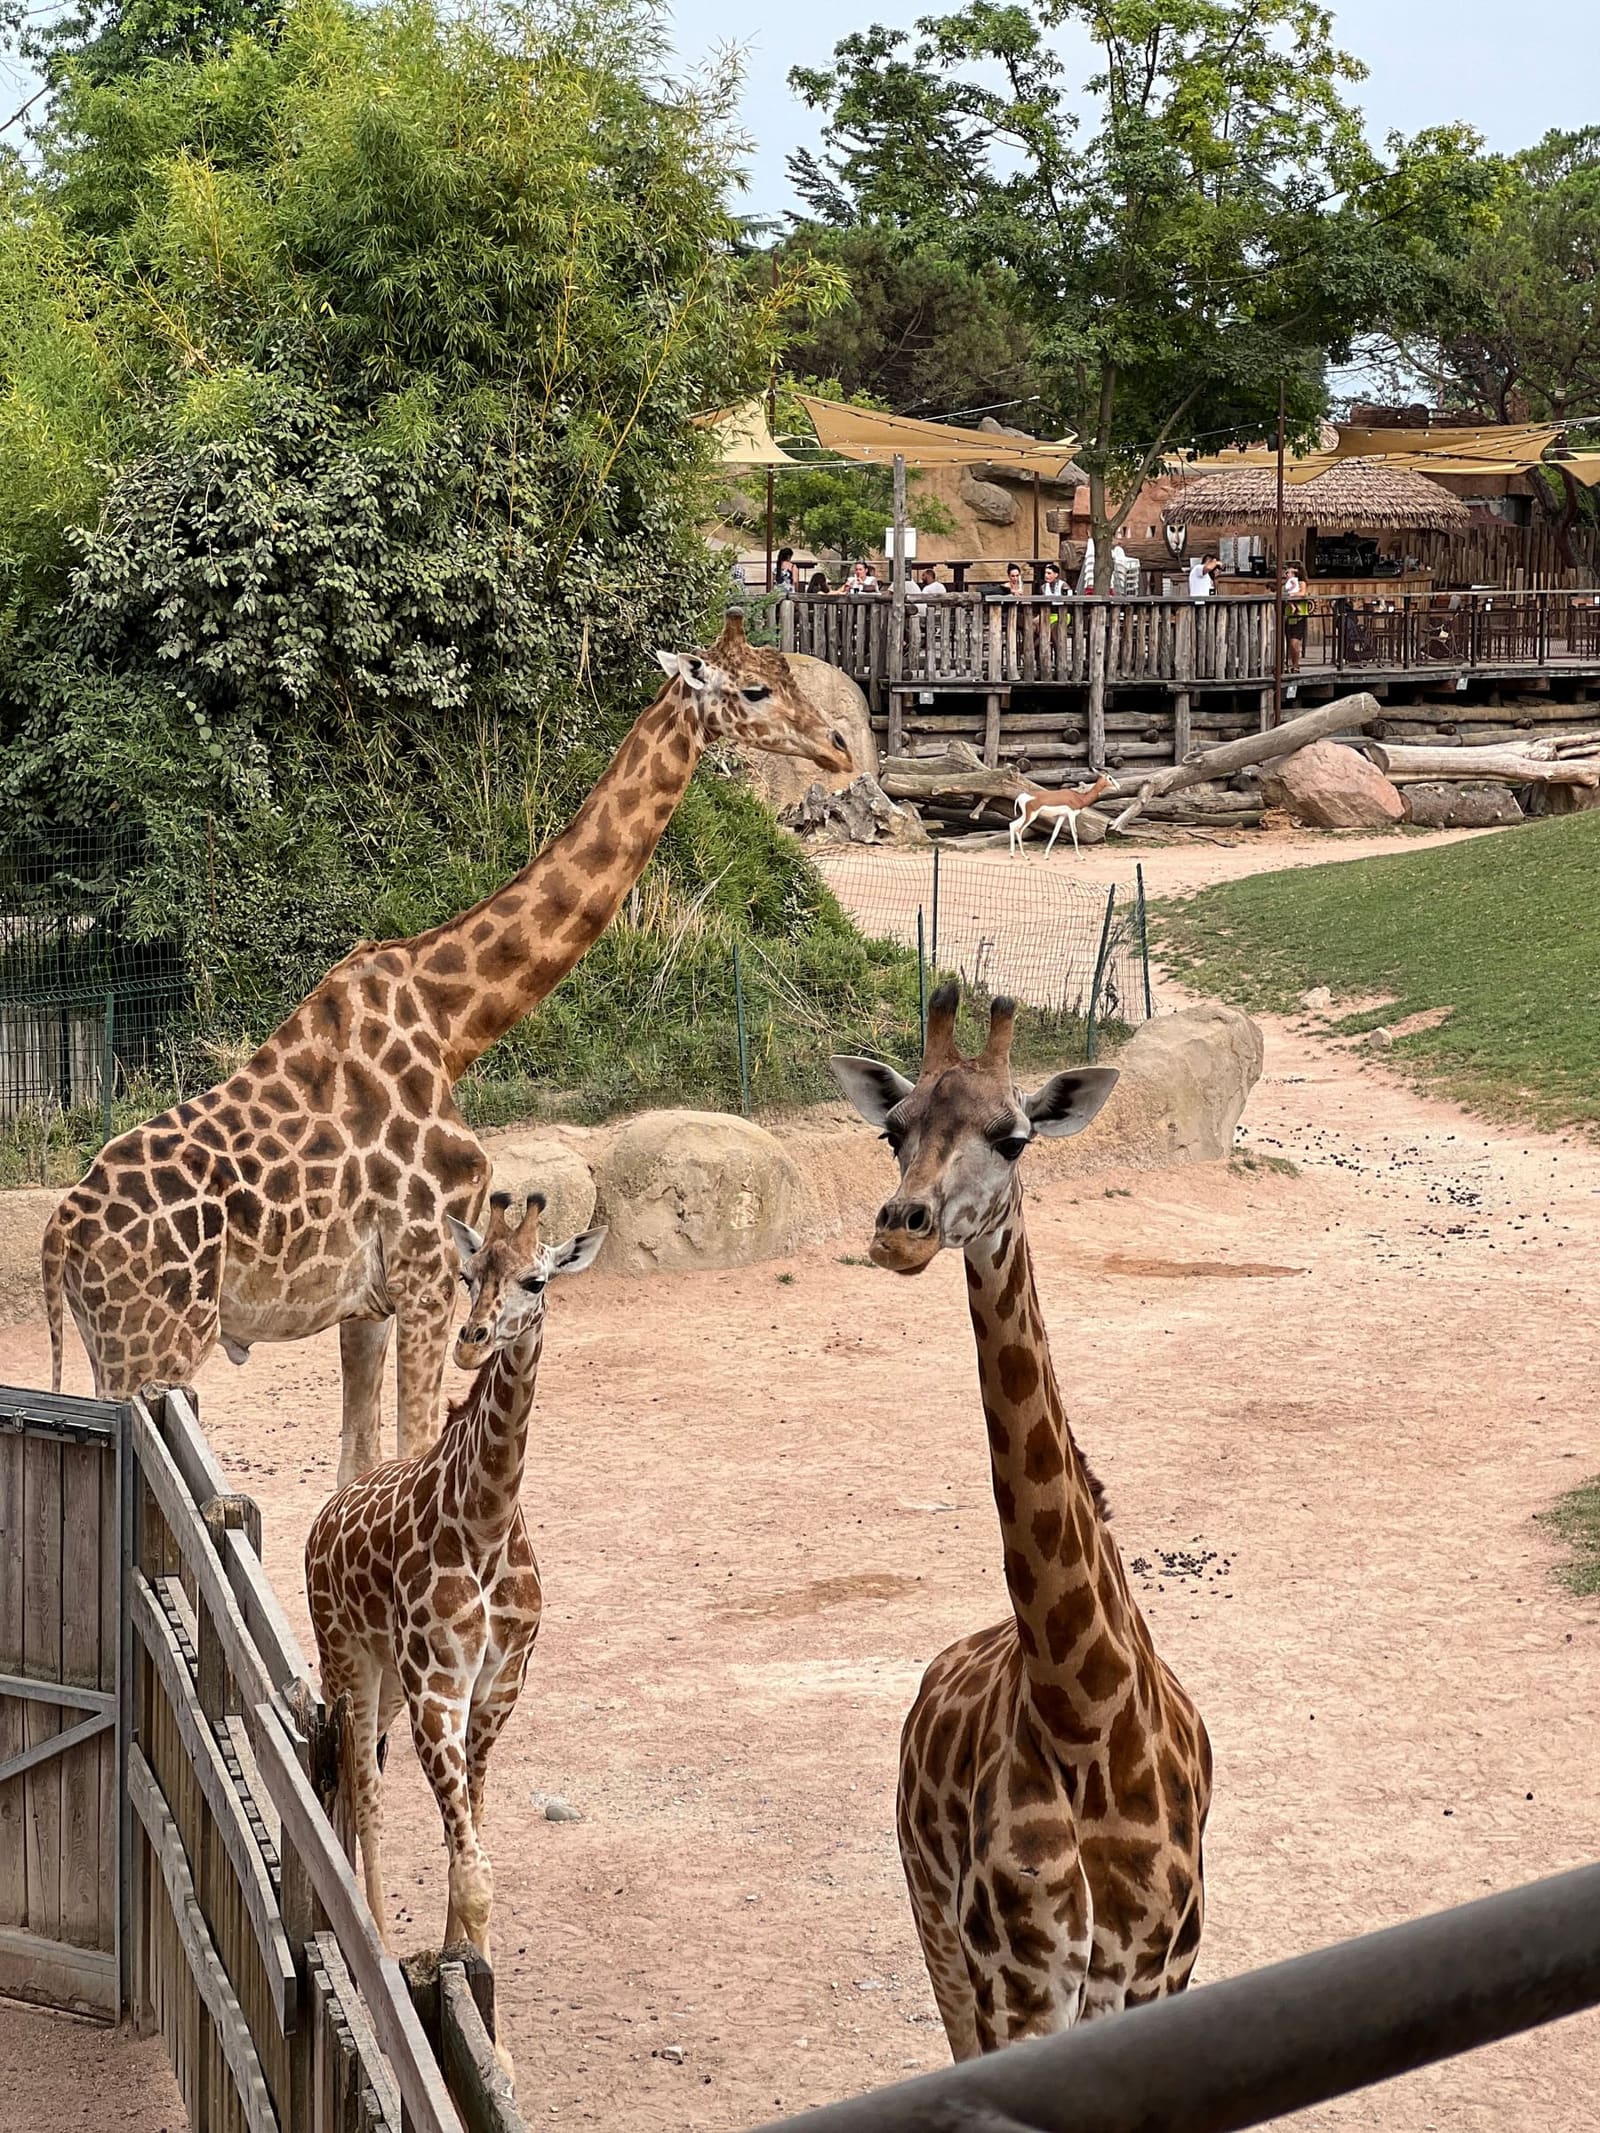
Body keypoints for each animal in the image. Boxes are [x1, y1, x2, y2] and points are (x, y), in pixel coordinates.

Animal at [42, 614, 851, 1482]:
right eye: (755, 688)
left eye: (787, 673)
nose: (840, 748)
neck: (454, 1020)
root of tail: (58, 1241)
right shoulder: (429, 1272)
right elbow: (412, 1445)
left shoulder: (366, 1302)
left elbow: (356, 1465)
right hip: (152, 1345)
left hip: (113, 1349)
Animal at [305, 1187, 604, 2067]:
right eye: (470, 1273)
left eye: (537, 1279)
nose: (472, 1339)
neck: (487, 1519)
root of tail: (323, 1518)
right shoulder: (438, 1688)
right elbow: (475, 1872)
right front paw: (482, 2036)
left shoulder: (495, 1691)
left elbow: (463, 1851)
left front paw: (470, 1997)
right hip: (351, 1659)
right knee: (360, 1784)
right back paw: (368, 1936)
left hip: (389, 1680)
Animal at [830, 984, 1211, 2058]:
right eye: (895, 1129)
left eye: (1013, 1138)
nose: (902, 1227)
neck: (1087, 1726)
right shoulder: (1020, 1984)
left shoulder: (1155, 1973)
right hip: (934, 1928)